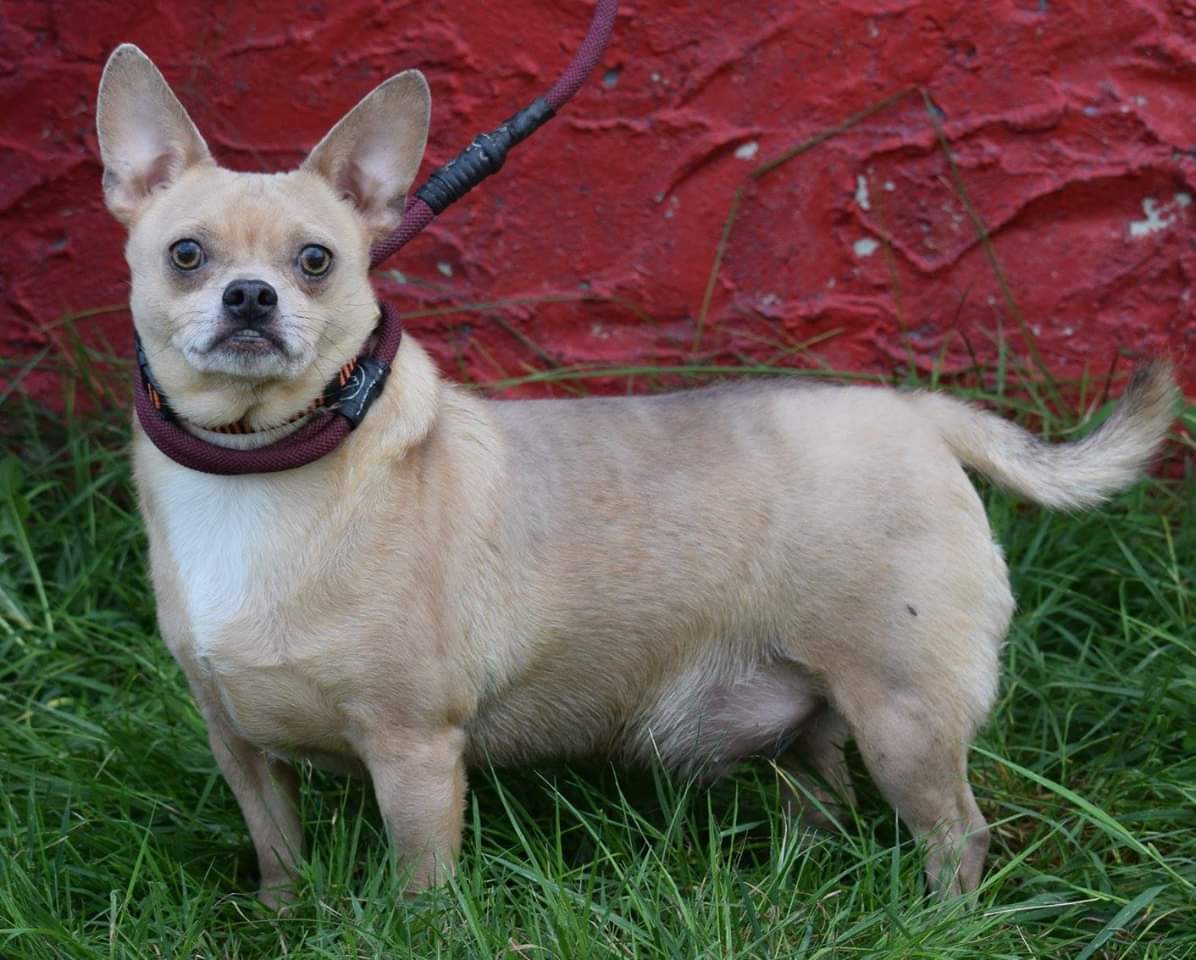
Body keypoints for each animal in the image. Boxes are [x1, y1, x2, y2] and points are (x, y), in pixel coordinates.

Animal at [95, 43, 1176, 899]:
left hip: (904, 716)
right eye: (185, 254)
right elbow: (279, 855)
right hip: (820, 715)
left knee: (956, 834)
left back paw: (935, 920)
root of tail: (917, 412)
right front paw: (284, 919)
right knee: (822, 789)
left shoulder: (414, 752)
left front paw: (413, 930)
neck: (256, 468)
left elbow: (420, 887)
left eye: (317, 261)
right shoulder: (239, 747)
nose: (250, 295)